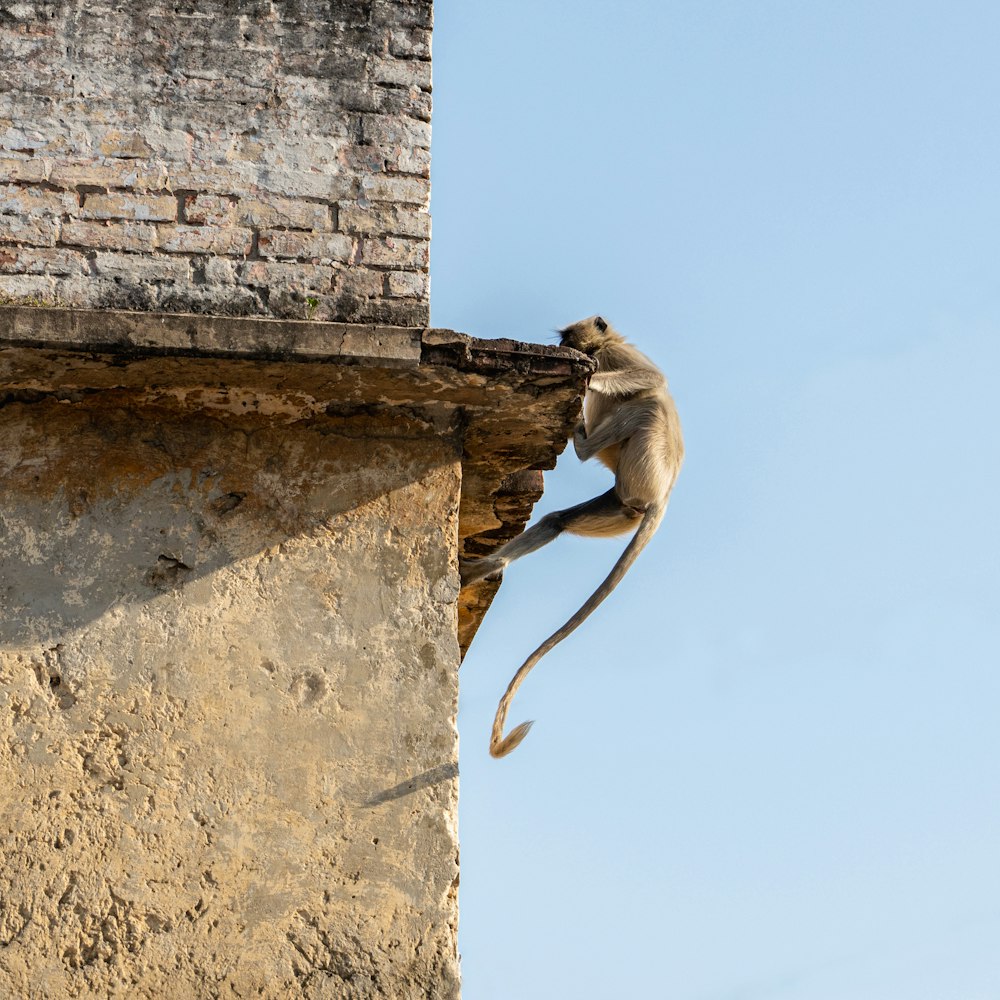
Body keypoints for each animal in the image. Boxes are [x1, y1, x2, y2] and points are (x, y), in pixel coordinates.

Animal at [462, 318, 688, 756]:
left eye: (569, 336)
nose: (567, 345)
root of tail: (662, 499)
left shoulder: (616, 354)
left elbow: (653, 377)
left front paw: (590, 377)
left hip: (644, 466)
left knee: (648, 403)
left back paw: (583, 441)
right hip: (621, 505)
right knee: (558, 522)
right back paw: (488, 565)